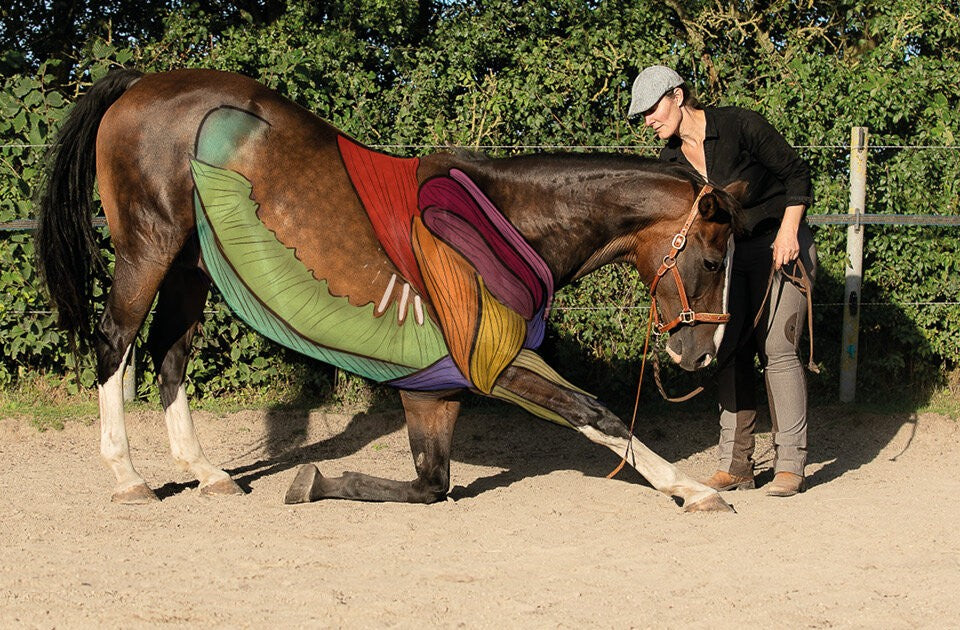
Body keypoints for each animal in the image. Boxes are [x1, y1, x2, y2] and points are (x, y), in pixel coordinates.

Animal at [36, 68, 742, 512]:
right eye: (712, 259)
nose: (702, 353)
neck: (506, 221)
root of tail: (142, 82)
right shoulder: (489, 360)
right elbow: (595, 414)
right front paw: (691, 488)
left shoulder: (444, 383)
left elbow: (433, 485)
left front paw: (314, 483)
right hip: (148, 249)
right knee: (115, 342)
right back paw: (129, 476)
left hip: (190, 269)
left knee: (169, 353)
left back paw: (205, 473)